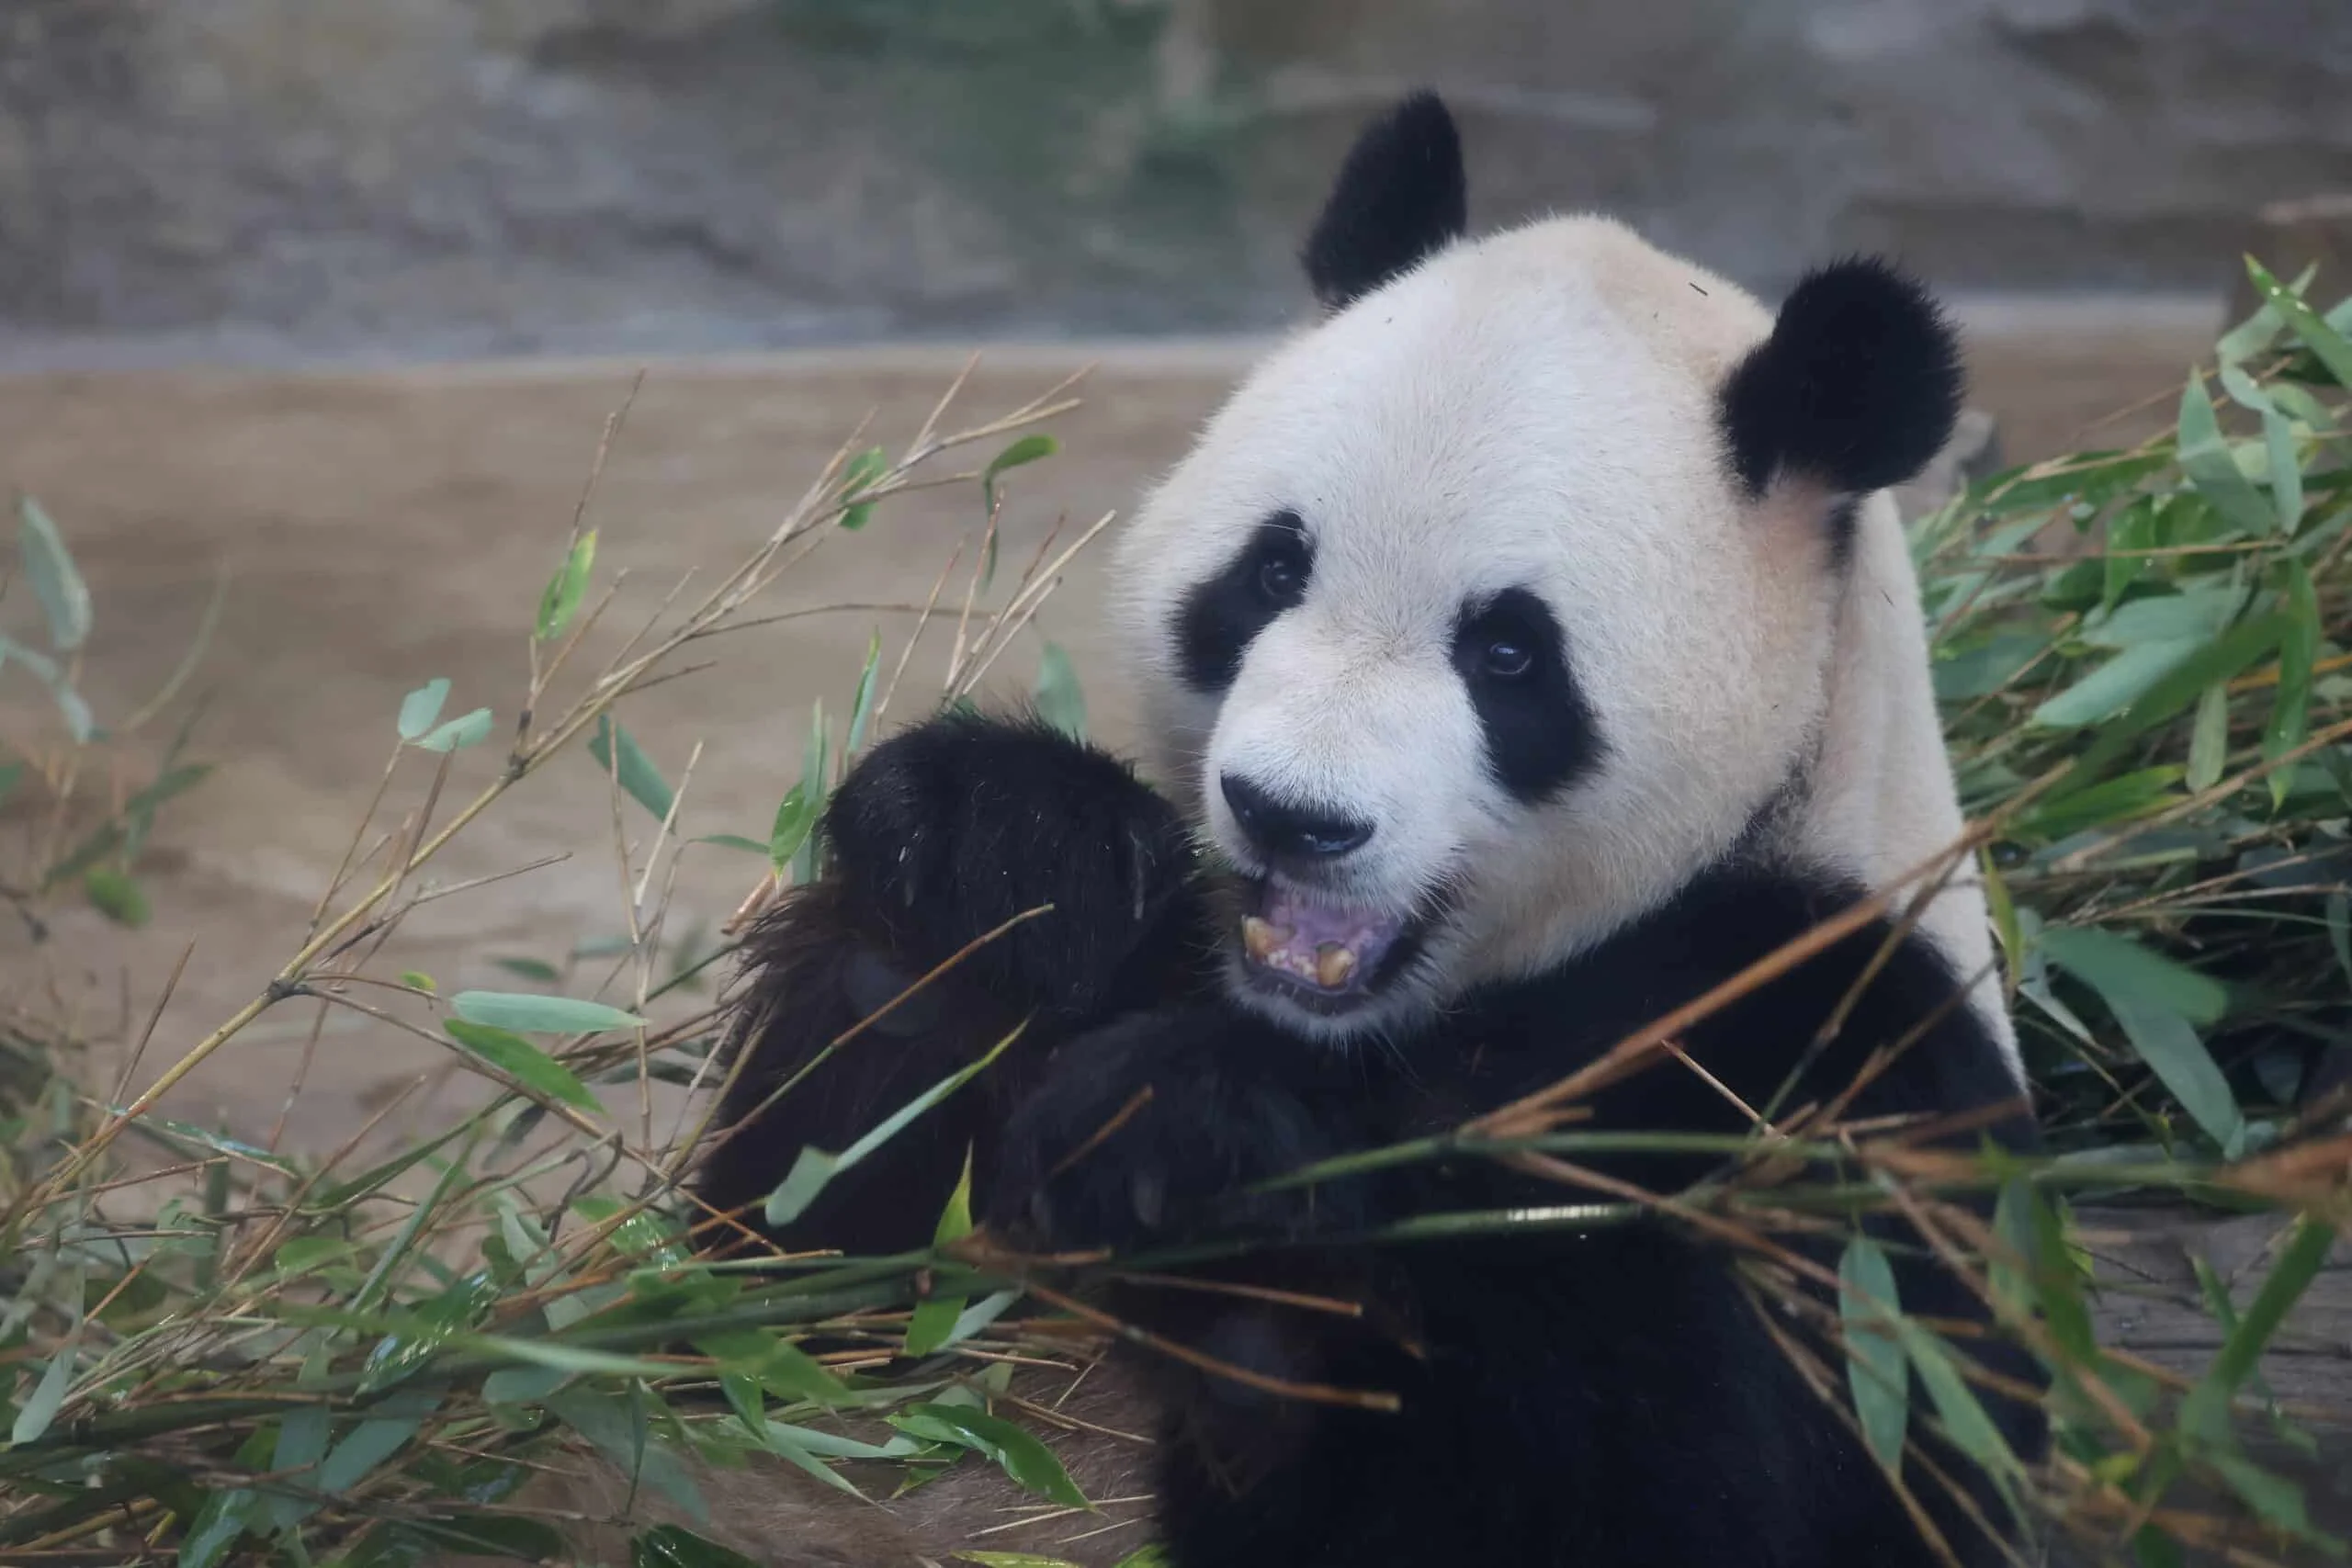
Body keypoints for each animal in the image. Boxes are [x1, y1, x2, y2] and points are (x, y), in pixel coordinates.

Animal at [693, 92, 2047, 1568]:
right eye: (1273, 569)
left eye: (1509, 653)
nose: (1292, 814)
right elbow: (786, 1292)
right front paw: (1003, 857)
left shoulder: (1819, 1040)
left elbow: (1709, 1469)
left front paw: (1192, 1147)